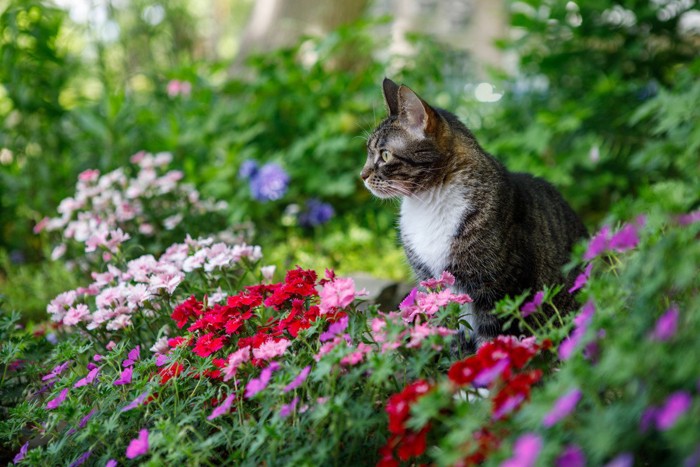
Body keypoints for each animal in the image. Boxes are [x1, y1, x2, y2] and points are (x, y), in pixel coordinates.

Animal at [364, 78, 588, 350]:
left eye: (384, 155)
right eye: (368, 152)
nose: (362, 175)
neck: (427, 204)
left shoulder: (497, 290)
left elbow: (490, 341)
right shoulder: (434, 287)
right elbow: (451, 337)